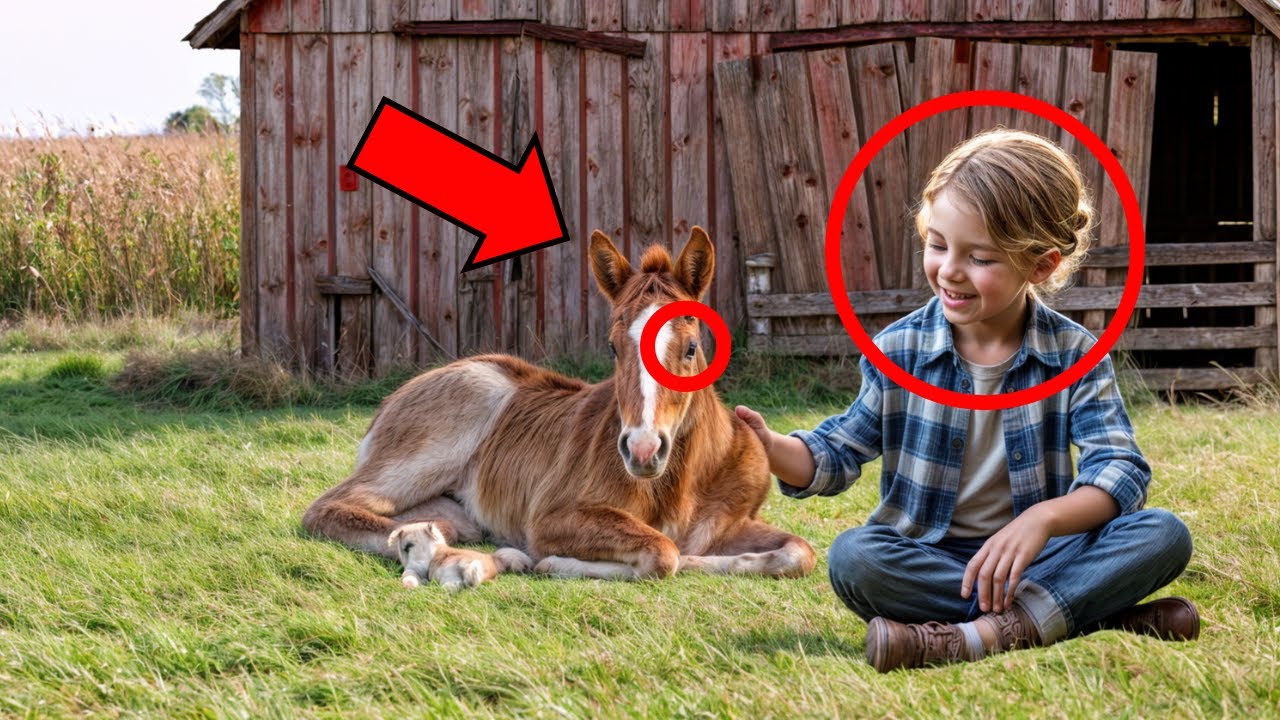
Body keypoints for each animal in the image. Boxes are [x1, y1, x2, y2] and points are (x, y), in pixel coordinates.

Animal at [302, 226, 816, 581]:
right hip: (429, 451)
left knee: (432, 522)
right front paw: (550, 562)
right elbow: (663, 554)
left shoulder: (732, 523)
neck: (681, 482)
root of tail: (390, 403)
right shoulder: (552, 517)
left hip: (449, 505)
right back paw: (469, 561)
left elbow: (799, 552)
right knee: (327, 510)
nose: (643, 449)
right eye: (612, 347)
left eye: (690, 348)